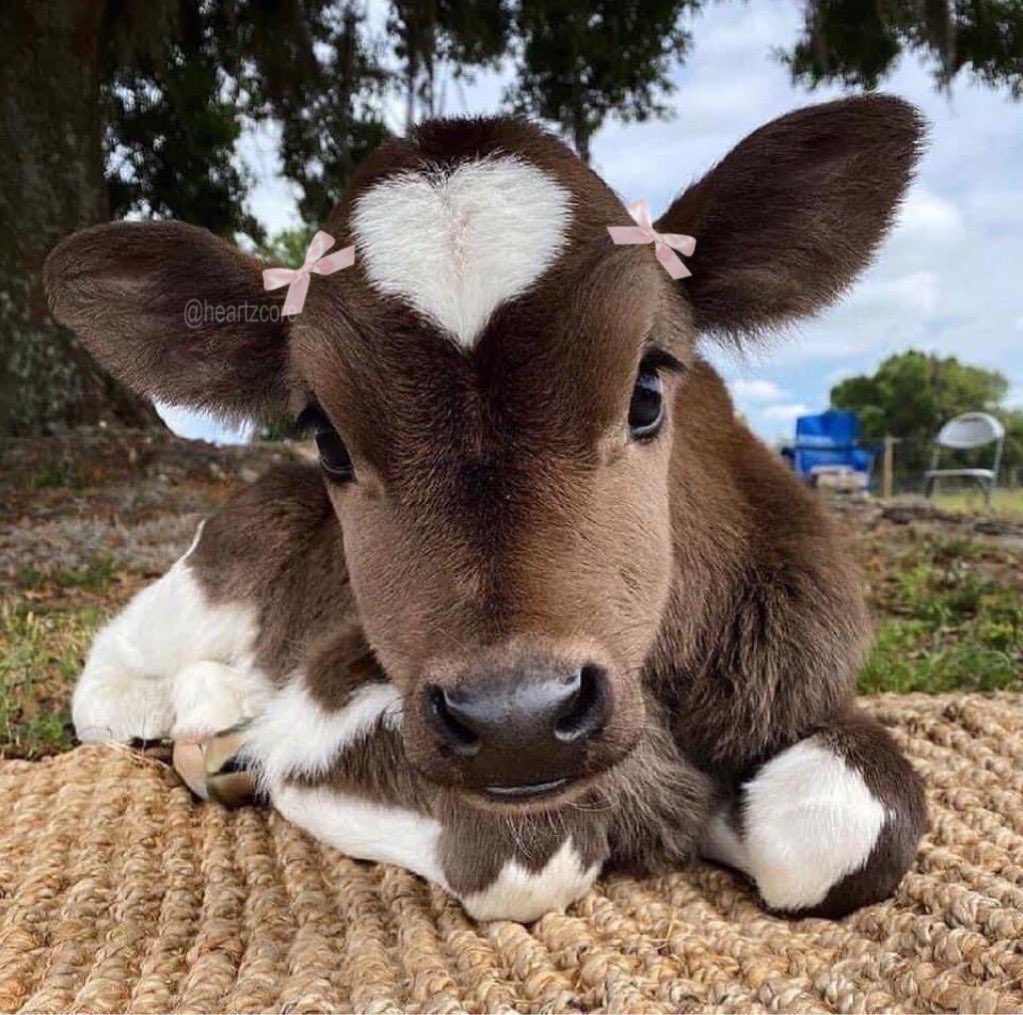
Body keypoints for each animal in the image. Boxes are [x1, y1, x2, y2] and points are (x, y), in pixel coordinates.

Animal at [44, 95, 927, 923]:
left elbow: (844, 826)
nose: (516, 719)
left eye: (647, 389)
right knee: (110, 679)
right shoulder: (332, 704)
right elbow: (528, 854)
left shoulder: (798, 678)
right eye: (327, 436)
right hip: (215, 572)